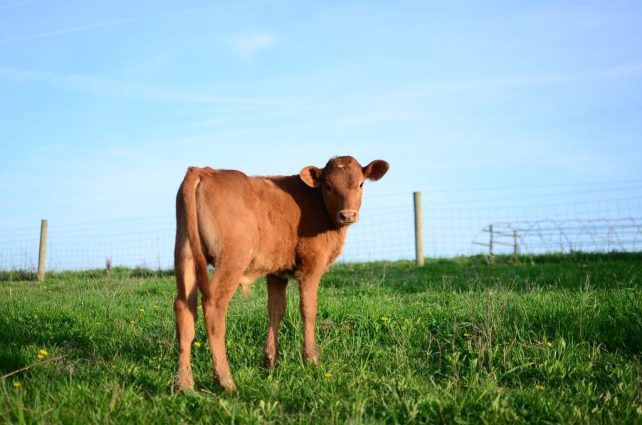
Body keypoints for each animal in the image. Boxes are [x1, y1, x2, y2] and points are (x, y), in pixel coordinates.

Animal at [174, 155, 389, 392]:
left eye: (360, 184)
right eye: (329, 186)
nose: (348, 214)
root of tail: (203, 171)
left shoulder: (277, 271)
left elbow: (276, 310)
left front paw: (269, 361)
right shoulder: (312, 265)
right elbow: (308, 310)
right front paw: (311, 358)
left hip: (185, 255)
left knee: (184, 309)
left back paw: (185, 384)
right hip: (232, 258)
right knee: (214, 306)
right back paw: (225, 380)